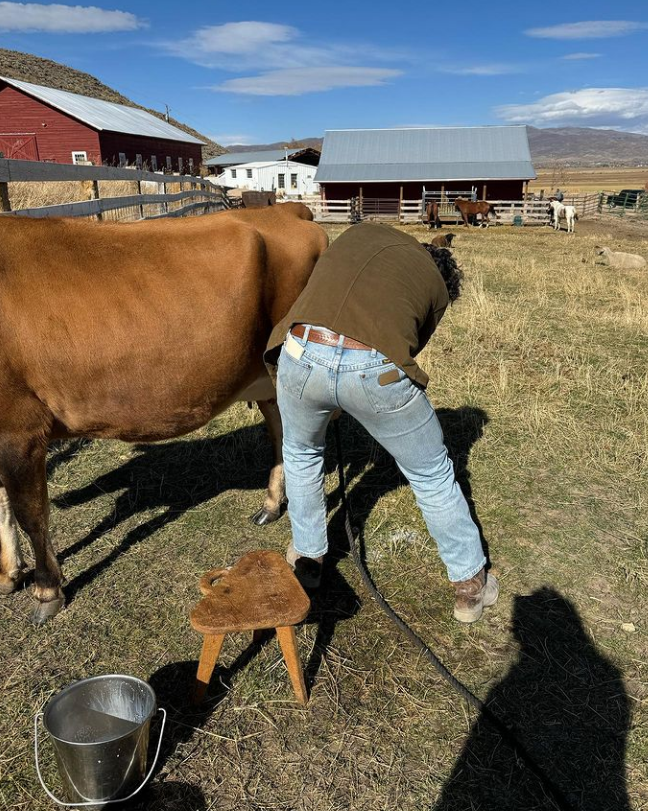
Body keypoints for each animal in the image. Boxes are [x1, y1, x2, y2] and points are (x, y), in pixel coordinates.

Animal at [0, 201, 326, 620]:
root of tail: (286, 210)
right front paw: (9, 574)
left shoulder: (20, 428)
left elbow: (30, 513)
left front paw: (46, 590)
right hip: (269, 377)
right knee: (281, 433)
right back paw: (271, 505)